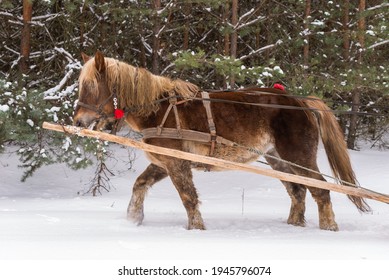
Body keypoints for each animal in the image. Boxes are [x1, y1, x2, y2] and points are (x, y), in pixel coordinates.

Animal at [74, 51, 368, 231]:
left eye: (90, 86)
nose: (77, 121)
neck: (159, 109)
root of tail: (300, 101)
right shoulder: (164, 162)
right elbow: (140, 185)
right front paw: (133, 219)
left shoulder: (177, 163)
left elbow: (188, 197)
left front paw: (196, 228)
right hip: (278, 159)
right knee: (298, 191)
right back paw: (294, 225)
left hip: (299, 155)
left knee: (320, 190)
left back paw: (329, 228)